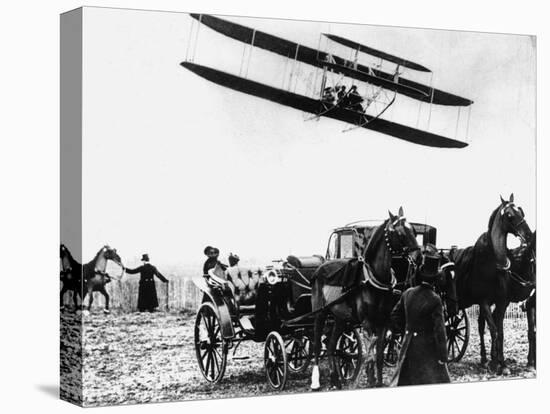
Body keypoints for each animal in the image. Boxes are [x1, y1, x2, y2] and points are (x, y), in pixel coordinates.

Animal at [312, 209, 420, 390]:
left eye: (413, 230)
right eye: (399, 232)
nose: (419, 256)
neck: (375, 279)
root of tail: (320, 268)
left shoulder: (383, 322)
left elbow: (378, 355)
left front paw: (379, 382)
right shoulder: (367, 323)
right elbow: (369, 355)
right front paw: (370, 381)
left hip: (340, 318)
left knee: (331, 345)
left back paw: (336, 381)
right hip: (320, 314)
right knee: (317, 344)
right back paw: (316, 381)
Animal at [452, 195, 536, 376]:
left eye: (521, 210)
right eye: (510, 215)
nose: (528, 234)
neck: (493, 263)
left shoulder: (502, 302)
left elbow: (500, 332)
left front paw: (501, 363)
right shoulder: (483, 301)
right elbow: (494, 330)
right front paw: (497, 364)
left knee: (480, 325)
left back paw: (485, 359)